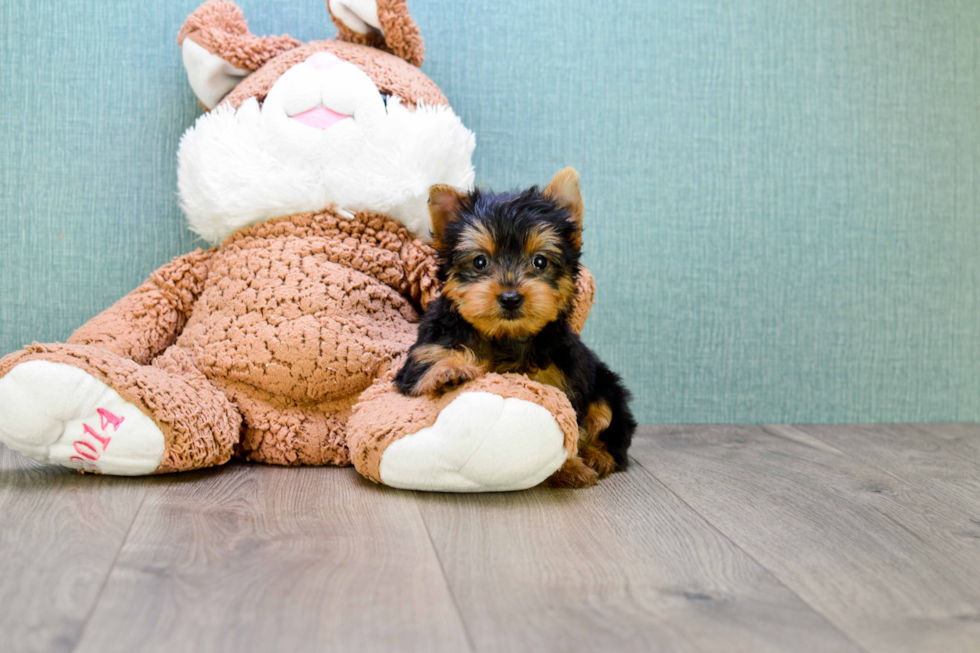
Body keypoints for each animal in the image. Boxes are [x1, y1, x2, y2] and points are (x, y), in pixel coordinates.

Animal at [394, 171, 640, 486]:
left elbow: (568, 424)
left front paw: (569, 467)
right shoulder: (428, 346)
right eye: (480, 261)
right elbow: (427, 363)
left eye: (540, 261)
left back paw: (600, 455)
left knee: (609, 421)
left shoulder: (564, 378)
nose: (510, 297)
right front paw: (450, 371)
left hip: (606, 386)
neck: (505, 337)